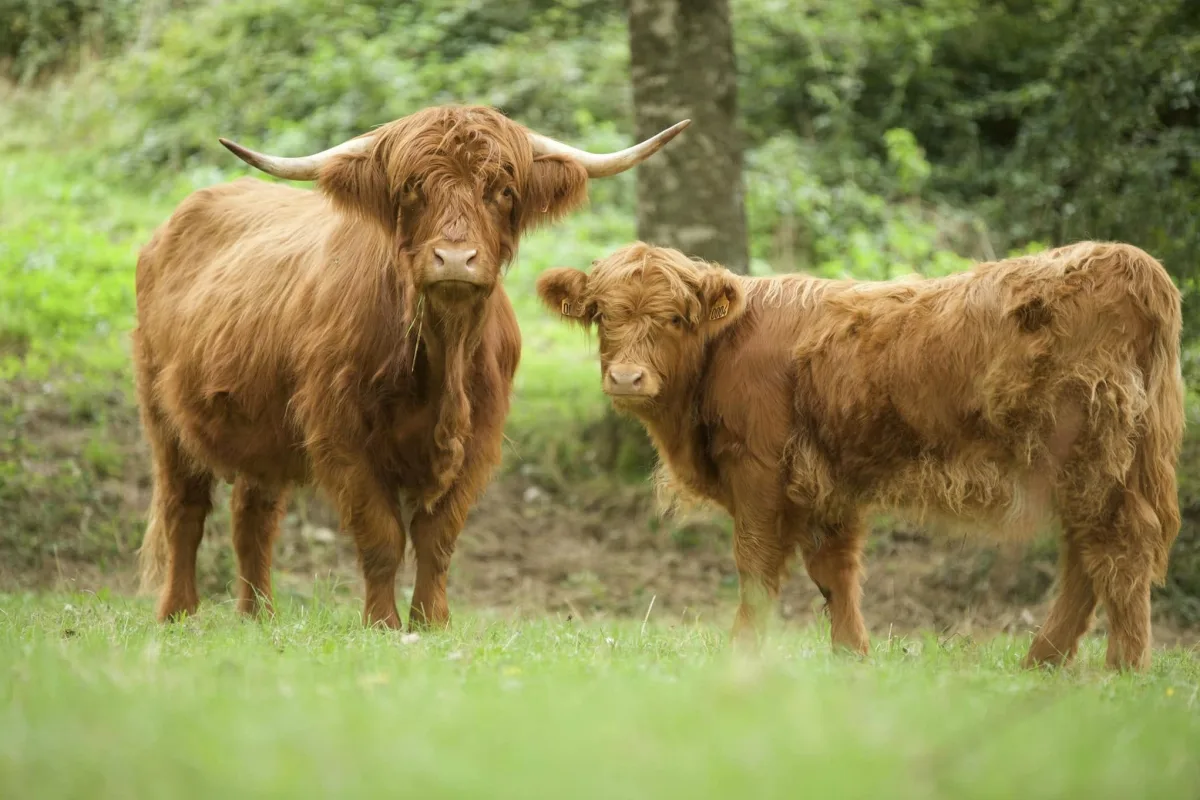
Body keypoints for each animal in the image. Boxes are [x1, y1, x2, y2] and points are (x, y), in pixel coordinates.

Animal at [134, 105, 689, 629]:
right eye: (412, 188)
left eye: (503, 190)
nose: (455, 258)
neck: (444, 357)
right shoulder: (343, 437)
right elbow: (382, 534)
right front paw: (383, 623)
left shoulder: (480, 438)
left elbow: (437, 536)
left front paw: (432, 621)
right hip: (163, 416)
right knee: (184, 510)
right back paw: (178, 613)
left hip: (260, 433)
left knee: (253, 516)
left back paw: (259, 616)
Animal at [537, 241, 1184, 671]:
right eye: (602, 315)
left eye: (673, 318)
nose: (626, 377)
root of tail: (1129, 261)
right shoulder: (828, 481)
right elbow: (835, 571)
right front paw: (852, 656)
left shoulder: (761, 472)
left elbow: (755, 567)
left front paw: (742, 655)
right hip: (1096, 468)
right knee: (1086, 557)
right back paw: (1043, 662)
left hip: (1093, 458)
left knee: (1116, 548)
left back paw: (1123, 668)